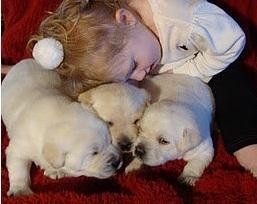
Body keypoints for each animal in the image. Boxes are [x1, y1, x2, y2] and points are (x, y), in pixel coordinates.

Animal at [1, 59, 122, 196]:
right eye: (94, 153)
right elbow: (18, 166)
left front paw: (58, 171)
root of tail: (25, 61)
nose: (117, 161)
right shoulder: (20, 146)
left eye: (110, 141)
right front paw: (20, 190)